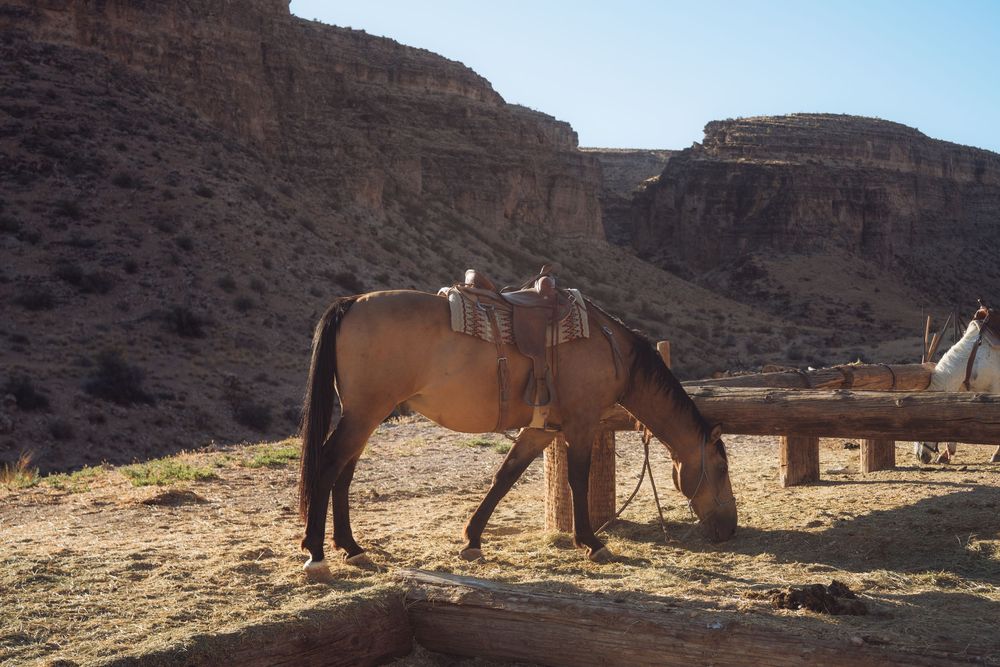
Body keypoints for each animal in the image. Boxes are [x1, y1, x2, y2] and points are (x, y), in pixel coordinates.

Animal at [297, 285, 737, 572]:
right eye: (720, 469)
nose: (729, 528)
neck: (610, 347)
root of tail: (351, 303)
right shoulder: (581, 422)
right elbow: (578, 479)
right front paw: (591, 542)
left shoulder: (542, 429)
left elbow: (505, 476)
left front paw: (472, 540)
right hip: (365, 413)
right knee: (329, 466)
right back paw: (316, 553)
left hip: (365, 415)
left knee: (344, 473)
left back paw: (351, 547)